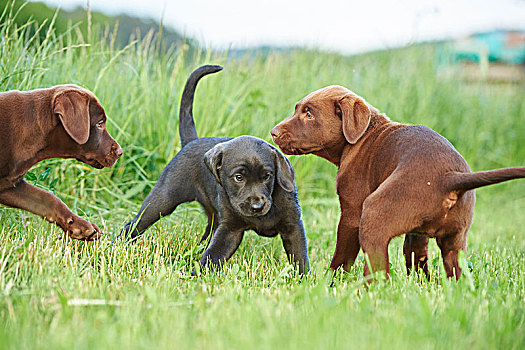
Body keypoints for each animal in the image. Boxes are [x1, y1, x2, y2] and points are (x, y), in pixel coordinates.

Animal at [121, 65, 310, 274]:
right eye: (238, 177)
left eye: (267, 176)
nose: (257, 207)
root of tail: (192, 141)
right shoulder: (229, 229)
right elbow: (213, 255)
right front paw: (195, 275)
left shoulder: (293, 227)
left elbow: (300, 259)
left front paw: (304, 279)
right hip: (163, 199)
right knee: (133, 225)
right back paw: (118, 243)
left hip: (212, 217)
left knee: (205, 238)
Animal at [272, 86, 520, 280]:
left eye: (309, 114)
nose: (273, 133)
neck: (362, 136)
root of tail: (449, 177)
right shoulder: (418, 234)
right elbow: (416, 257)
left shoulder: (351, 214)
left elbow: (342, 257)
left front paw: (328, 282)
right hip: (455, 240)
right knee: (456, 271)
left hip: (374, 215)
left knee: (378, 272)